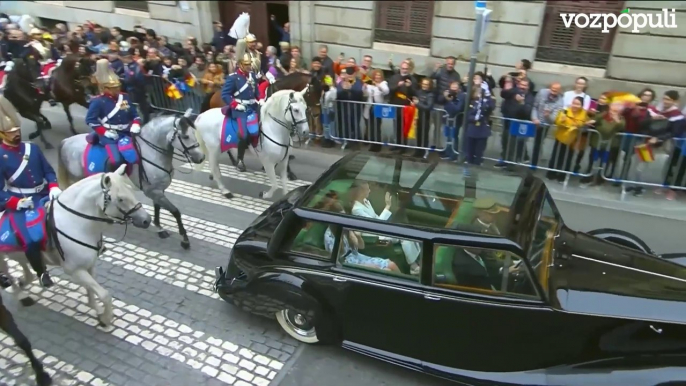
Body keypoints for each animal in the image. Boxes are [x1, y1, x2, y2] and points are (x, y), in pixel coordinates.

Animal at [0, 166, 150, 326]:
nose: (147, 220)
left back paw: (23, 283)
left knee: (25, 269)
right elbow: (104, 294)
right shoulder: (75, 270)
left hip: (18, 254)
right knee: (9, 273)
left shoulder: (89, 265)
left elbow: (92, 290)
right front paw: (105, 318)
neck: (76, 223)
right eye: (121, 199)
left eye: (132, 191)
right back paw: (21, 295)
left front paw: (96, 309)